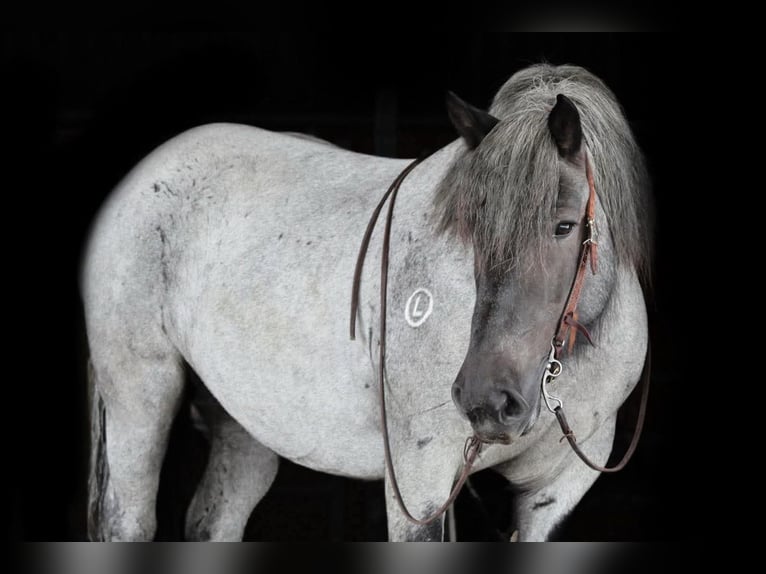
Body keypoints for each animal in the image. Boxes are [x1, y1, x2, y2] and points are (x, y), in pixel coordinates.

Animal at [82, 63, 652, 541]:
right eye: (469, 227)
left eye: (564, 226)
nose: (490, 401)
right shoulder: (419, 478)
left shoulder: (557, 490)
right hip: (141, 394)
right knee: (129, 522)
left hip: (242, 427)